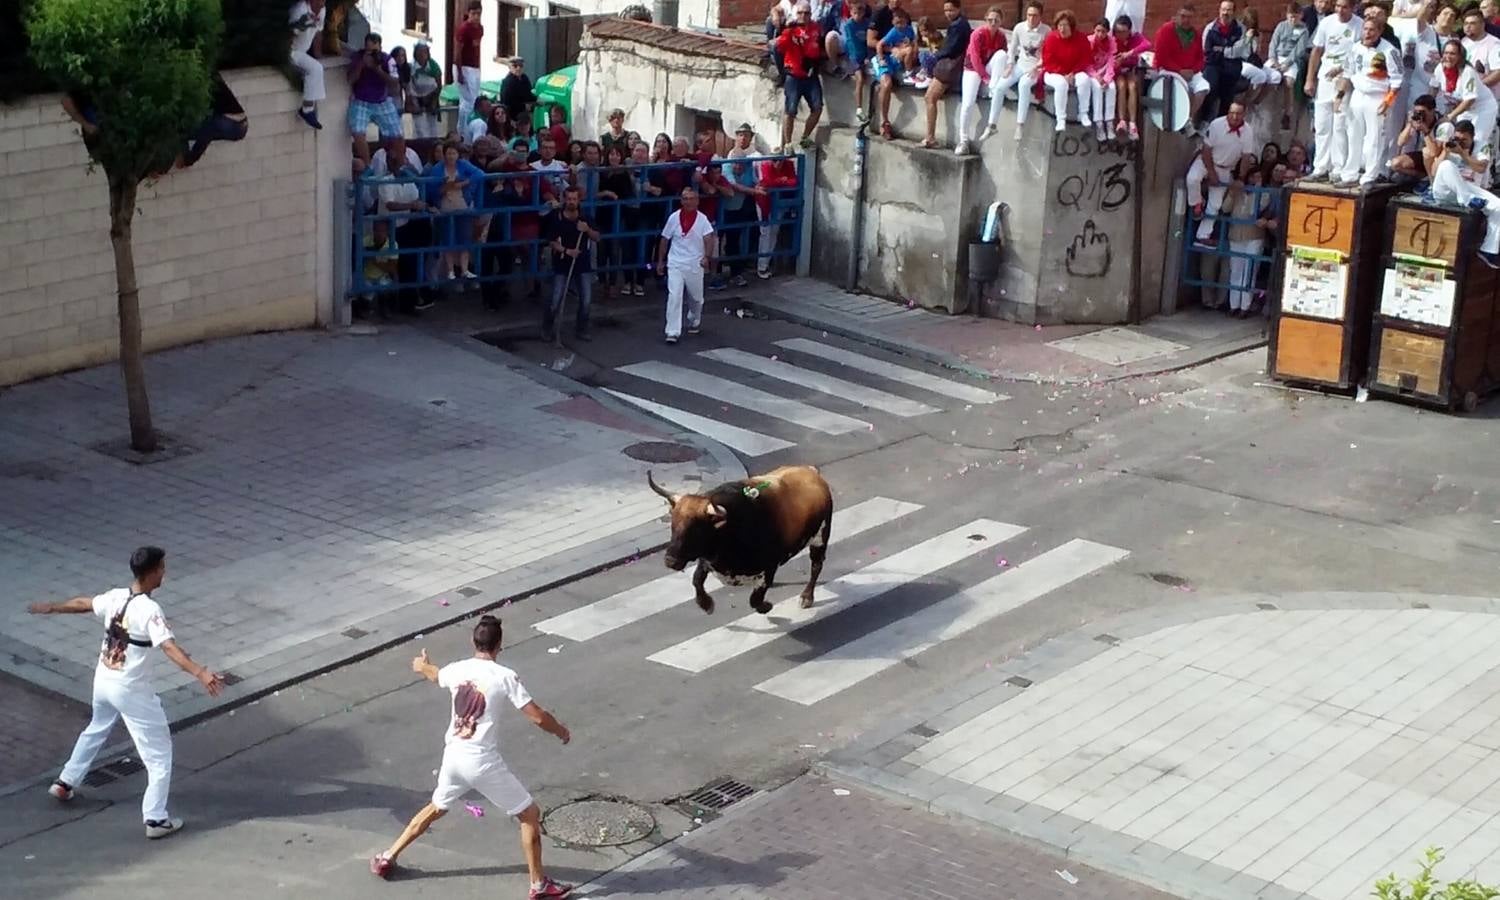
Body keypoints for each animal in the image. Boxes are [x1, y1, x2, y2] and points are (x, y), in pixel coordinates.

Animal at [645, 468, 834, 615]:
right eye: (673, 525)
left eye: (696, 530)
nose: (670, 561)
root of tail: (811, 471)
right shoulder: (706, 560)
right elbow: (696, 579)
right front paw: (706, 604)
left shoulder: (769, 568)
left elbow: (755, 599)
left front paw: (766, 606)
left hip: (820, 538)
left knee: (816, 567)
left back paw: (807, 597)